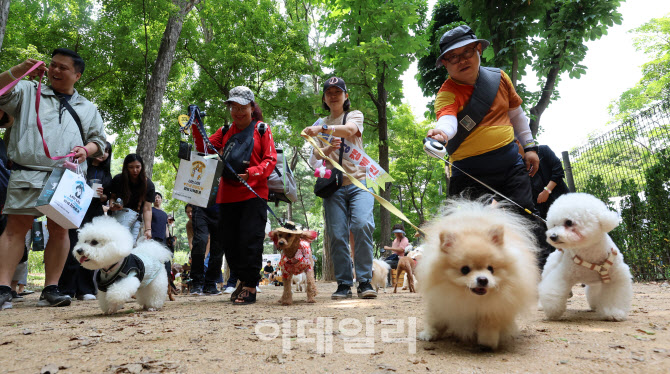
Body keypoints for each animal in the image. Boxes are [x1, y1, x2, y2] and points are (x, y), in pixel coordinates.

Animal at [420, 200, 540, 350]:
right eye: (465, 269)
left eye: (491, 269)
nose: (483, 279)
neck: (472, 299)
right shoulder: (441, 302)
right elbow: (435, 320)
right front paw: (429, 334)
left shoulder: (495, 309)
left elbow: (489, 327)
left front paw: (488, 342)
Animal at [540, 193, 636, 322]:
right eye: (554, 225)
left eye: (569, 222)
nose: (553, 236)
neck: (589, 254)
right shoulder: (563, 275)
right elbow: (553, 290)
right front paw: (553, 310)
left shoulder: (615, 278)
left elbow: (614, 295)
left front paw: (613, 313)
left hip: (596, 283)